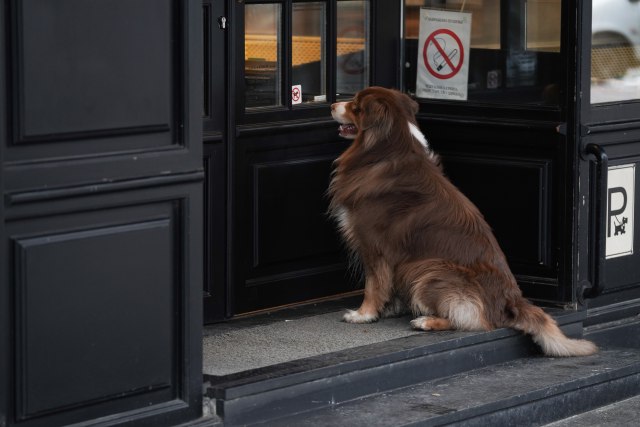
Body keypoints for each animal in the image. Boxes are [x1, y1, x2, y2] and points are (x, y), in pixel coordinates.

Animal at [328, 87, 596, 358]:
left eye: (355, 107)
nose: (331, 105)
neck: (388, 146)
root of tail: (511, 300)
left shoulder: (373, 244)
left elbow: (373, 284)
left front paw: (363, 314)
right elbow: (385, 284)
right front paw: (389, 308)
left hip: (427, 269)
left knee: (475, 321)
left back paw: (426, 321)